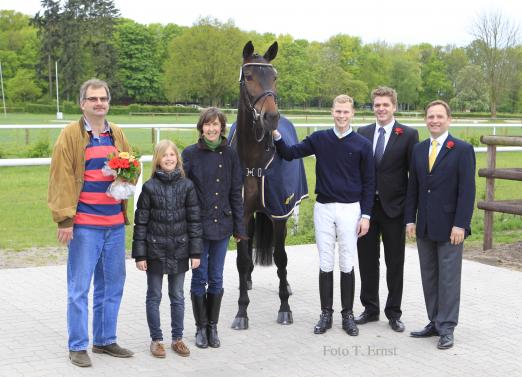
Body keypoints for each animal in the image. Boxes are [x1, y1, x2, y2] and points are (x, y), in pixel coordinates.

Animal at [228, 41, 304, 328]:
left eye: (274, 77)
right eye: (248, 76)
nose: (271, 117)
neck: (254, 160)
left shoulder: (279, 212)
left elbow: (281, 257)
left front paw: (285, 308)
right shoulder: (241, 213)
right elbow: (241, 259)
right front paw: (242, 311)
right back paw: (248, 281)